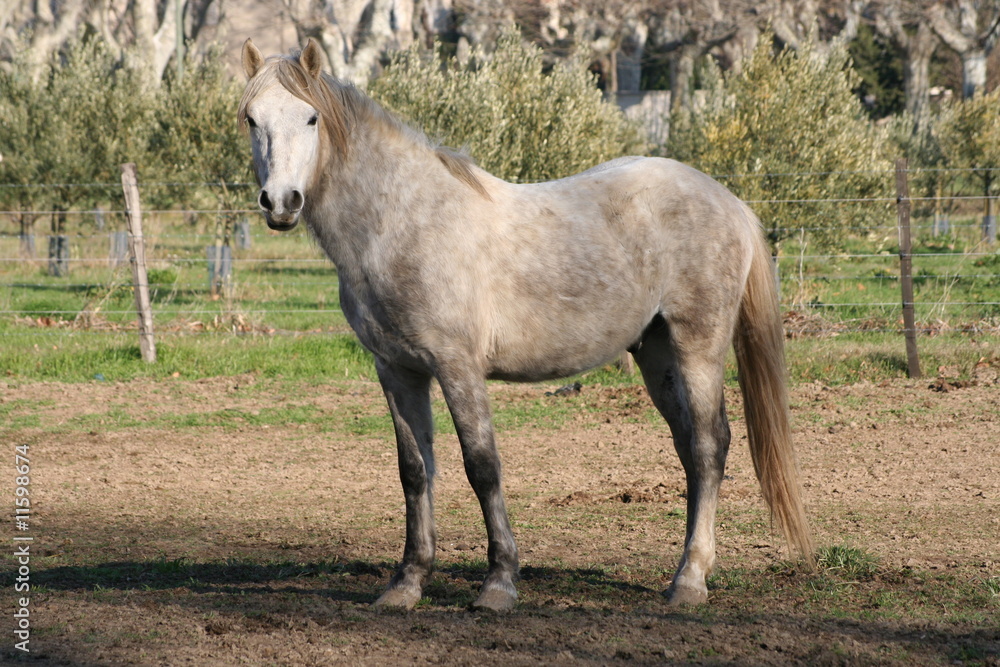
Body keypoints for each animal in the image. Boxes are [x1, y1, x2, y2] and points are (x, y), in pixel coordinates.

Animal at [238, 38, 813, 612]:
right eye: (251, 119)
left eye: (311, 118)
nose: (281, 203)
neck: (402, 221)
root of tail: (729, 201)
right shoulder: (397, 370)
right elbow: (414, 471)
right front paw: (407, 583)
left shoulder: (458, 366)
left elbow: (482, 466)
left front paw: (498, 584)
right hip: (656, 355)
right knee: (690, 449)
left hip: (698, 345)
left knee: (710, 446)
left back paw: (690, 582)